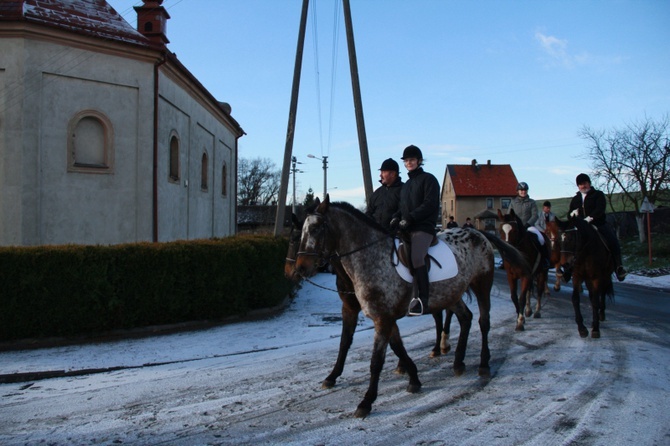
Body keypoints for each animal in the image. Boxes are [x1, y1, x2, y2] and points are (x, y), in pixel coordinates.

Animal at [296, 196, 532, 418]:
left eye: (315, 229)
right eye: (302, 229)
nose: (300, 268)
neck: (372, 257)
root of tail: (477, 233)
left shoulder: (383, 318)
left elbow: (376, 360)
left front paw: (366, 402)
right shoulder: (384, 317)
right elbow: (397, 347)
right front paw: (414, 379)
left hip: (482, 285)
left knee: (484, 322)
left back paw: (483, 364)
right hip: (451, 294)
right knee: (466, 317)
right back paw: (458, 362)